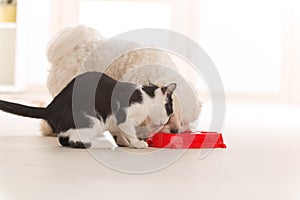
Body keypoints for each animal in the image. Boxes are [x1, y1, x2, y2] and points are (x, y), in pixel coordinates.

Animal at [0, 72, 176, 148]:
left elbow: (120, 132)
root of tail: (50, 108)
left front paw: (125, 143)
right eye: (170, 108)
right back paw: (101, 144)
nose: (167, 119)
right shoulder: (123, 115)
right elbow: (130, 131)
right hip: (92, 122)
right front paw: (138, 143)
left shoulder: (114, 122)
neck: (146, 97)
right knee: (68, 140)